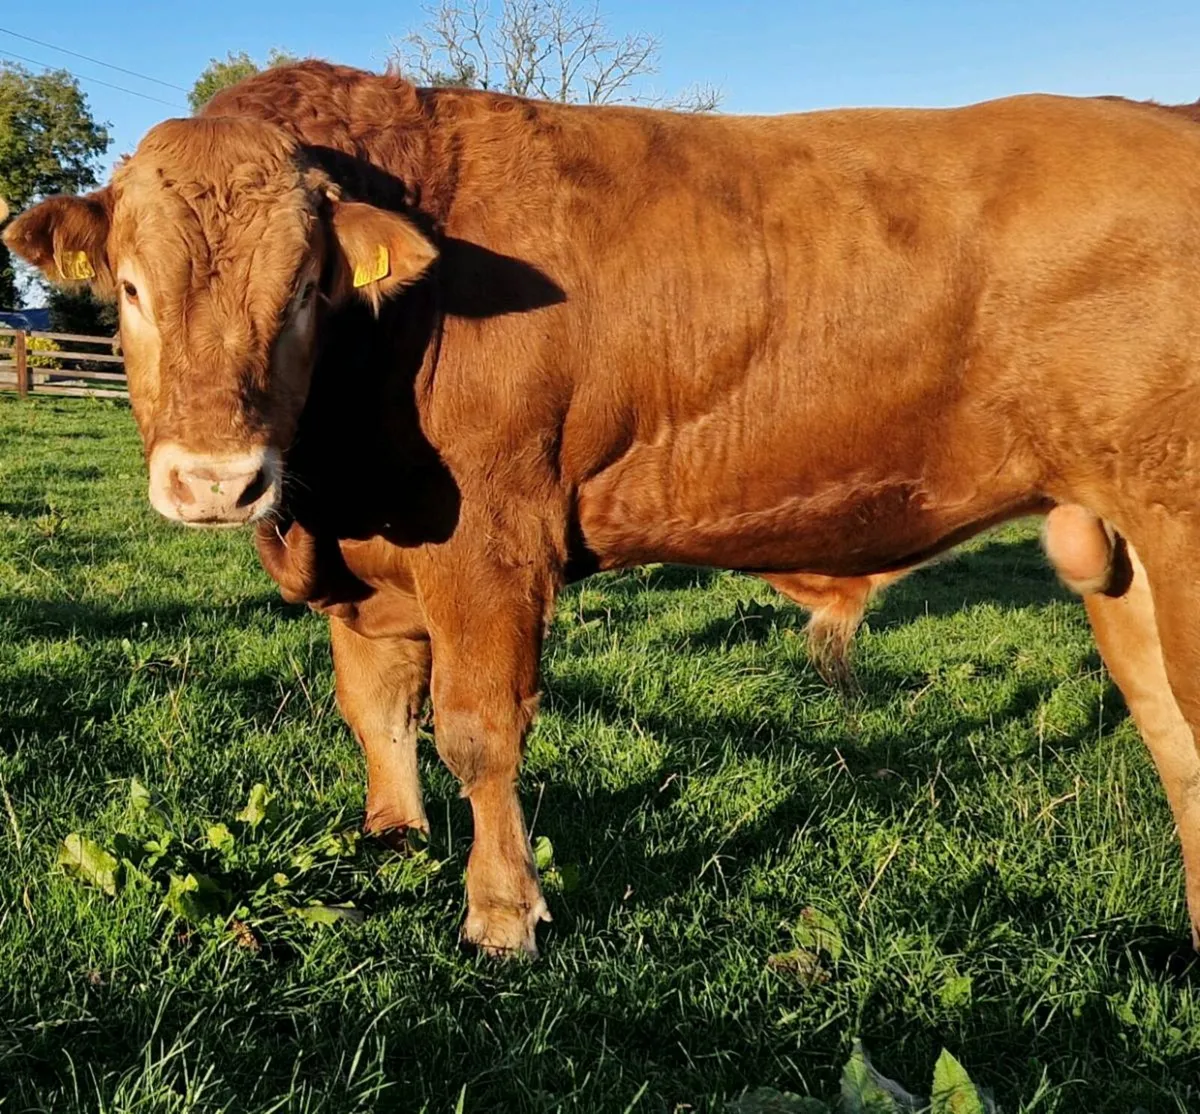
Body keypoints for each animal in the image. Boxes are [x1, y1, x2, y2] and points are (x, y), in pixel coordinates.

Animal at [7, 62, 1200, 958]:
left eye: (305, 290)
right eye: (129, 288)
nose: (220, 481)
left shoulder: (487, 542)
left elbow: (478, 730)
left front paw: (501, 914)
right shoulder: (370, 559)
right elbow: (376, 707)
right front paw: (391, 841)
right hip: (1121, 551)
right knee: (1174, 738)